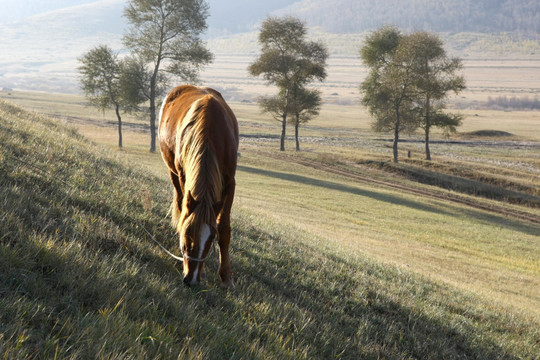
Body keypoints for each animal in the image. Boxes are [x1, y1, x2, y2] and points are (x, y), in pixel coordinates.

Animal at [158, 83, 238, 286]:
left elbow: (224, 229)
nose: (191, 279)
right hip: (173, 174)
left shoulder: (230, 183)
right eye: (186, 235)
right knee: (180, 202)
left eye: (211, 239)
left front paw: (226, 278)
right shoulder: (183, 176)